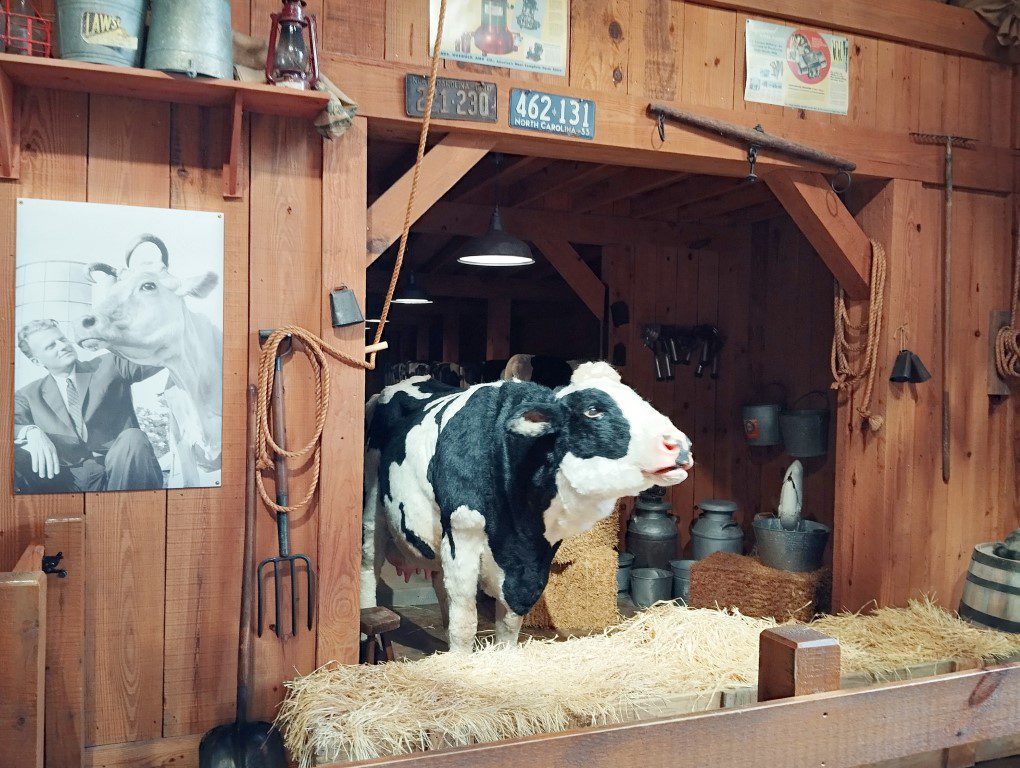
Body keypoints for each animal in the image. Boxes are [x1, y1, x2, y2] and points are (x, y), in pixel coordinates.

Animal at [361, 363, 693, 648]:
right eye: (593, 410)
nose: (680, 445)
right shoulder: (462, 533)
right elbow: (466, 619)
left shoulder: (534, 560)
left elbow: (509, 624)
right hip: (371, 514)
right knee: (368, 567)